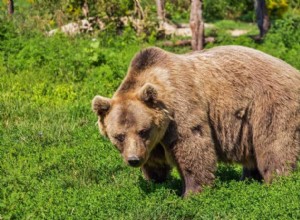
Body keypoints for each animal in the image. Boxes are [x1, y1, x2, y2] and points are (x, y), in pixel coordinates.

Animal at [91, 45, 300, 197]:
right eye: (119, 136)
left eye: (143, 131)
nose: (133, 159)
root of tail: (294, 71)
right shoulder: (156, 140)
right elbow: (155, 162)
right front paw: (154, 183)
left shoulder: (181, 110)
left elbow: (193, 148)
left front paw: (192, 193)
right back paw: (249, 178)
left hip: (269, 105)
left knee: (274, 145)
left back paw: (276, 182)